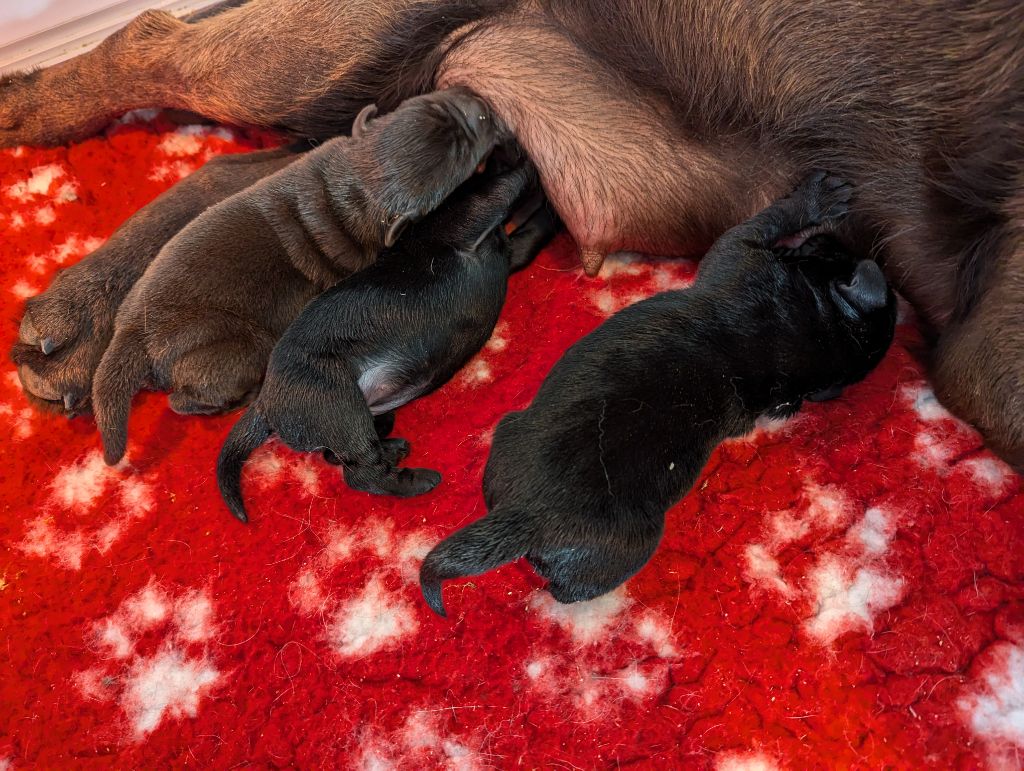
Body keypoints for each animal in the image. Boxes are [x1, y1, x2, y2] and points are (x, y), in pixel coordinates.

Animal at [94, 87, 497, 466]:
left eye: (433, 103)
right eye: (461, 157)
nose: (483, 105)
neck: (352, 188)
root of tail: (132, 332)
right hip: (235, 351)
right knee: (183, 400)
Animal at [211, 164, 557, 520]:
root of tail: (264, 401)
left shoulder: (509, 251)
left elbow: (533, 231)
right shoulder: (469, 216)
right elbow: (505, 187)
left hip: (365, 415)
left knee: (340, 457)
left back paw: (392, 450)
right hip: (338, 403)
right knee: (361, 474)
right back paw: (417, 480)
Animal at [415, 170, 897, 618]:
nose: (835, 238)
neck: (817, 329)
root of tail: (526, 515)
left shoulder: (740, 252)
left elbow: (769, 216)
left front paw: (816, 198)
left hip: (626, 546)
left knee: (570, 585)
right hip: (511, 432)